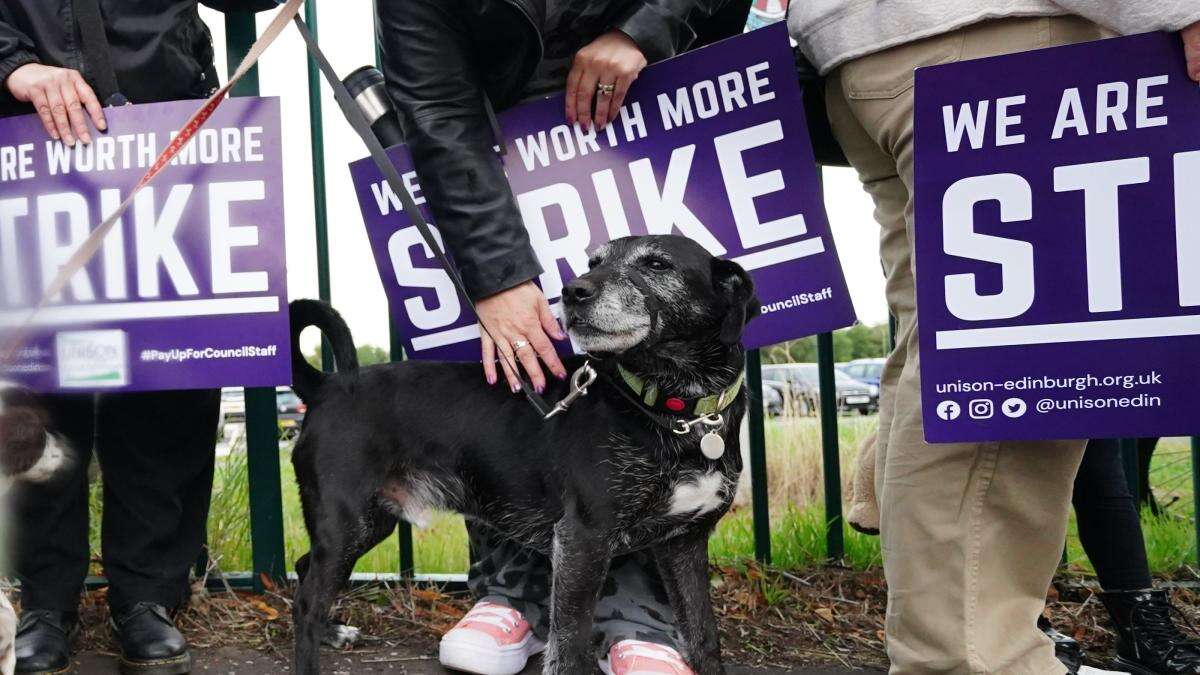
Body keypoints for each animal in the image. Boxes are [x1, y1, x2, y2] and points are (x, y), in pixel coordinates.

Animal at [290, 234, 758, 667]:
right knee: (307, 603)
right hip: (345, 522)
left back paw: (333, 632)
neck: (674, 409)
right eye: (594, 262)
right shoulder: (582, 540)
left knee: (302, 568)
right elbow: (570, 650)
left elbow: (704, 638)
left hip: (369, 523)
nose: (573, 291)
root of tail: (326, 385)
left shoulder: (685, 545)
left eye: (658, 264)